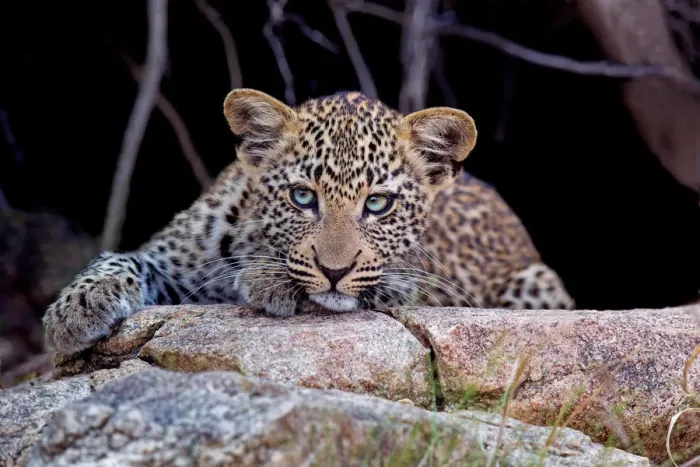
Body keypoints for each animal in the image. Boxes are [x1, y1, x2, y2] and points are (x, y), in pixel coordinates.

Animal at [42, 88, 574, 356]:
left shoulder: (419, 281)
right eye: (302, 197)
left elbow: (372, 284)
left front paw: (269, 279)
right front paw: (76, 308)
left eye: (377, 204)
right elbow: (120, 258)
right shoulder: (169, 260)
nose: (334, 272)